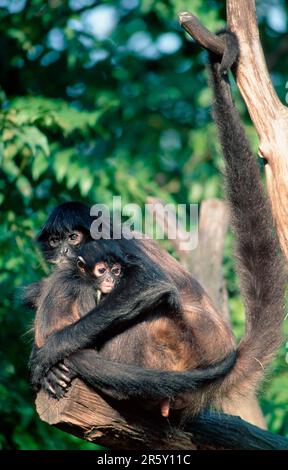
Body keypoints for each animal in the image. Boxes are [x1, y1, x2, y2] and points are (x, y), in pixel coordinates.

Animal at [27, 34, 286, 422]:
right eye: (56, 241)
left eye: (73, 237)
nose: (66, 252)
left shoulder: (113, 241)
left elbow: (147, 286)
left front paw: (48, 354)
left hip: (174, 343)